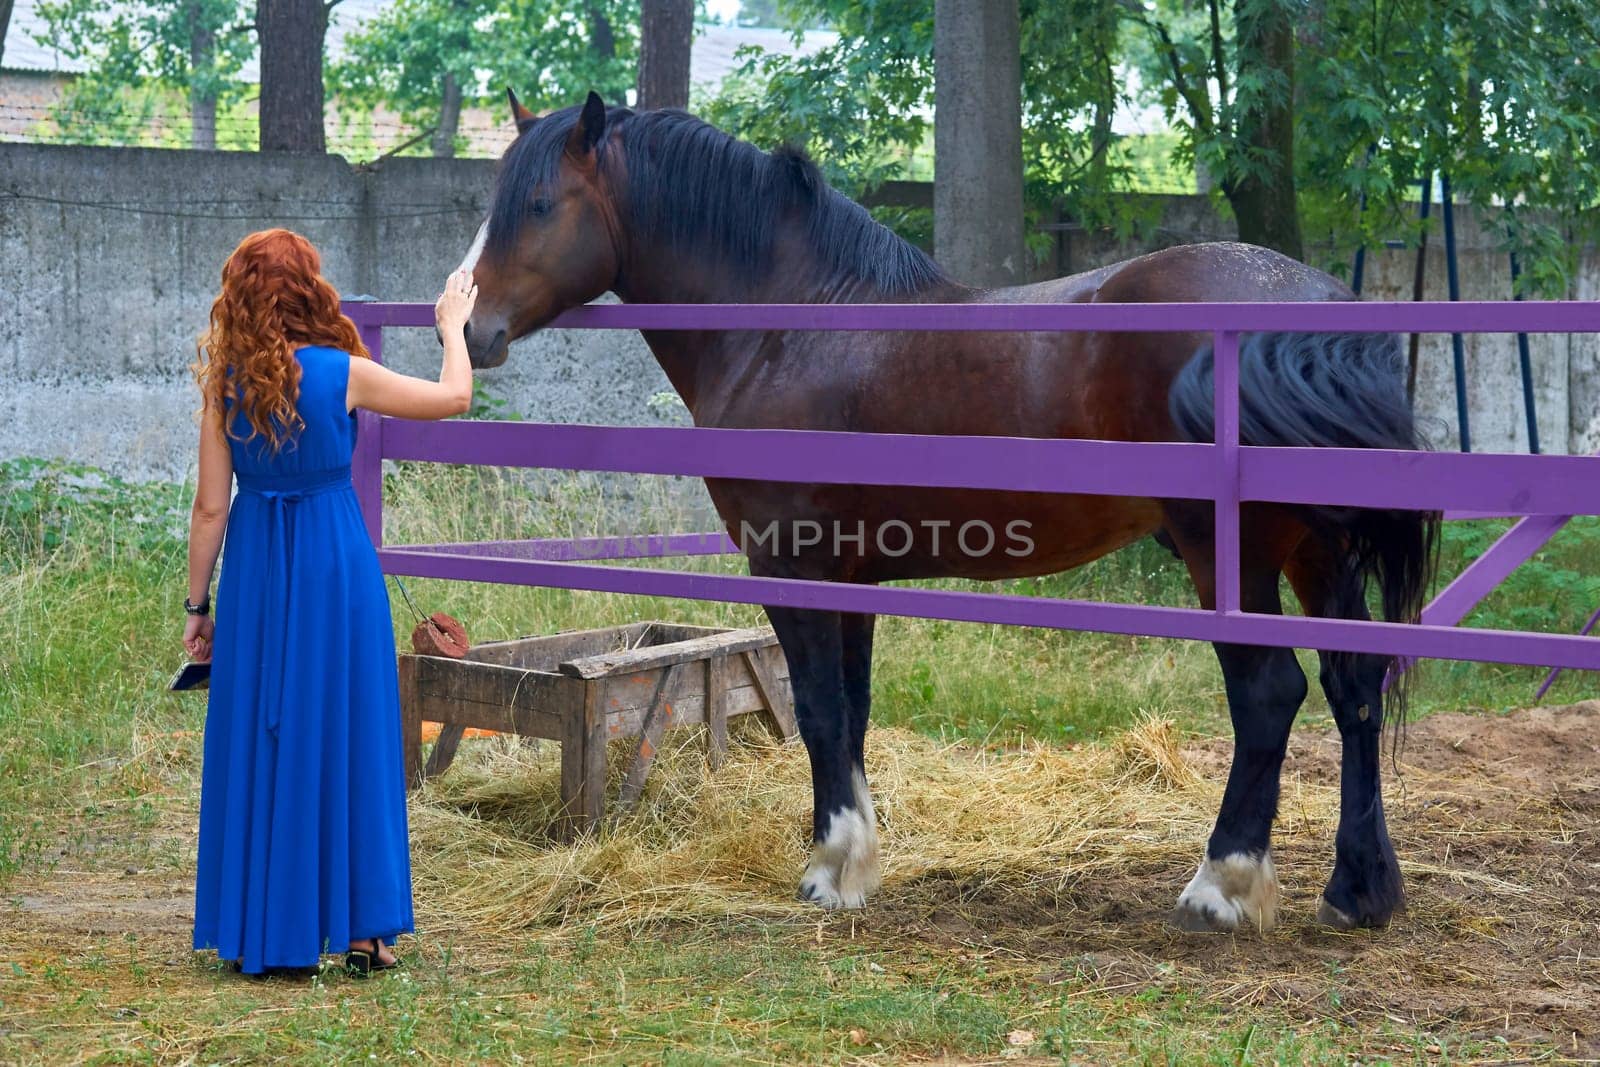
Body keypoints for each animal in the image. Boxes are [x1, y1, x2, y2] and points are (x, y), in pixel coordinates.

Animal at [454, 91, 1440, 934]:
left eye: (537, 203)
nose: (471, 331)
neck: (792, 324)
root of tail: (1314, 309)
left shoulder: (792, 560)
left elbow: (818, 709)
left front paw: (829, 872)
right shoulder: (851, 572)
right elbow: (850, 709)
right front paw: (856, 859)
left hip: (1226, 551)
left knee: (1270, 694)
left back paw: (1222, 884)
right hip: (1317, 551)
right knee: (1354, 687)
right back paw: (1358, 889)